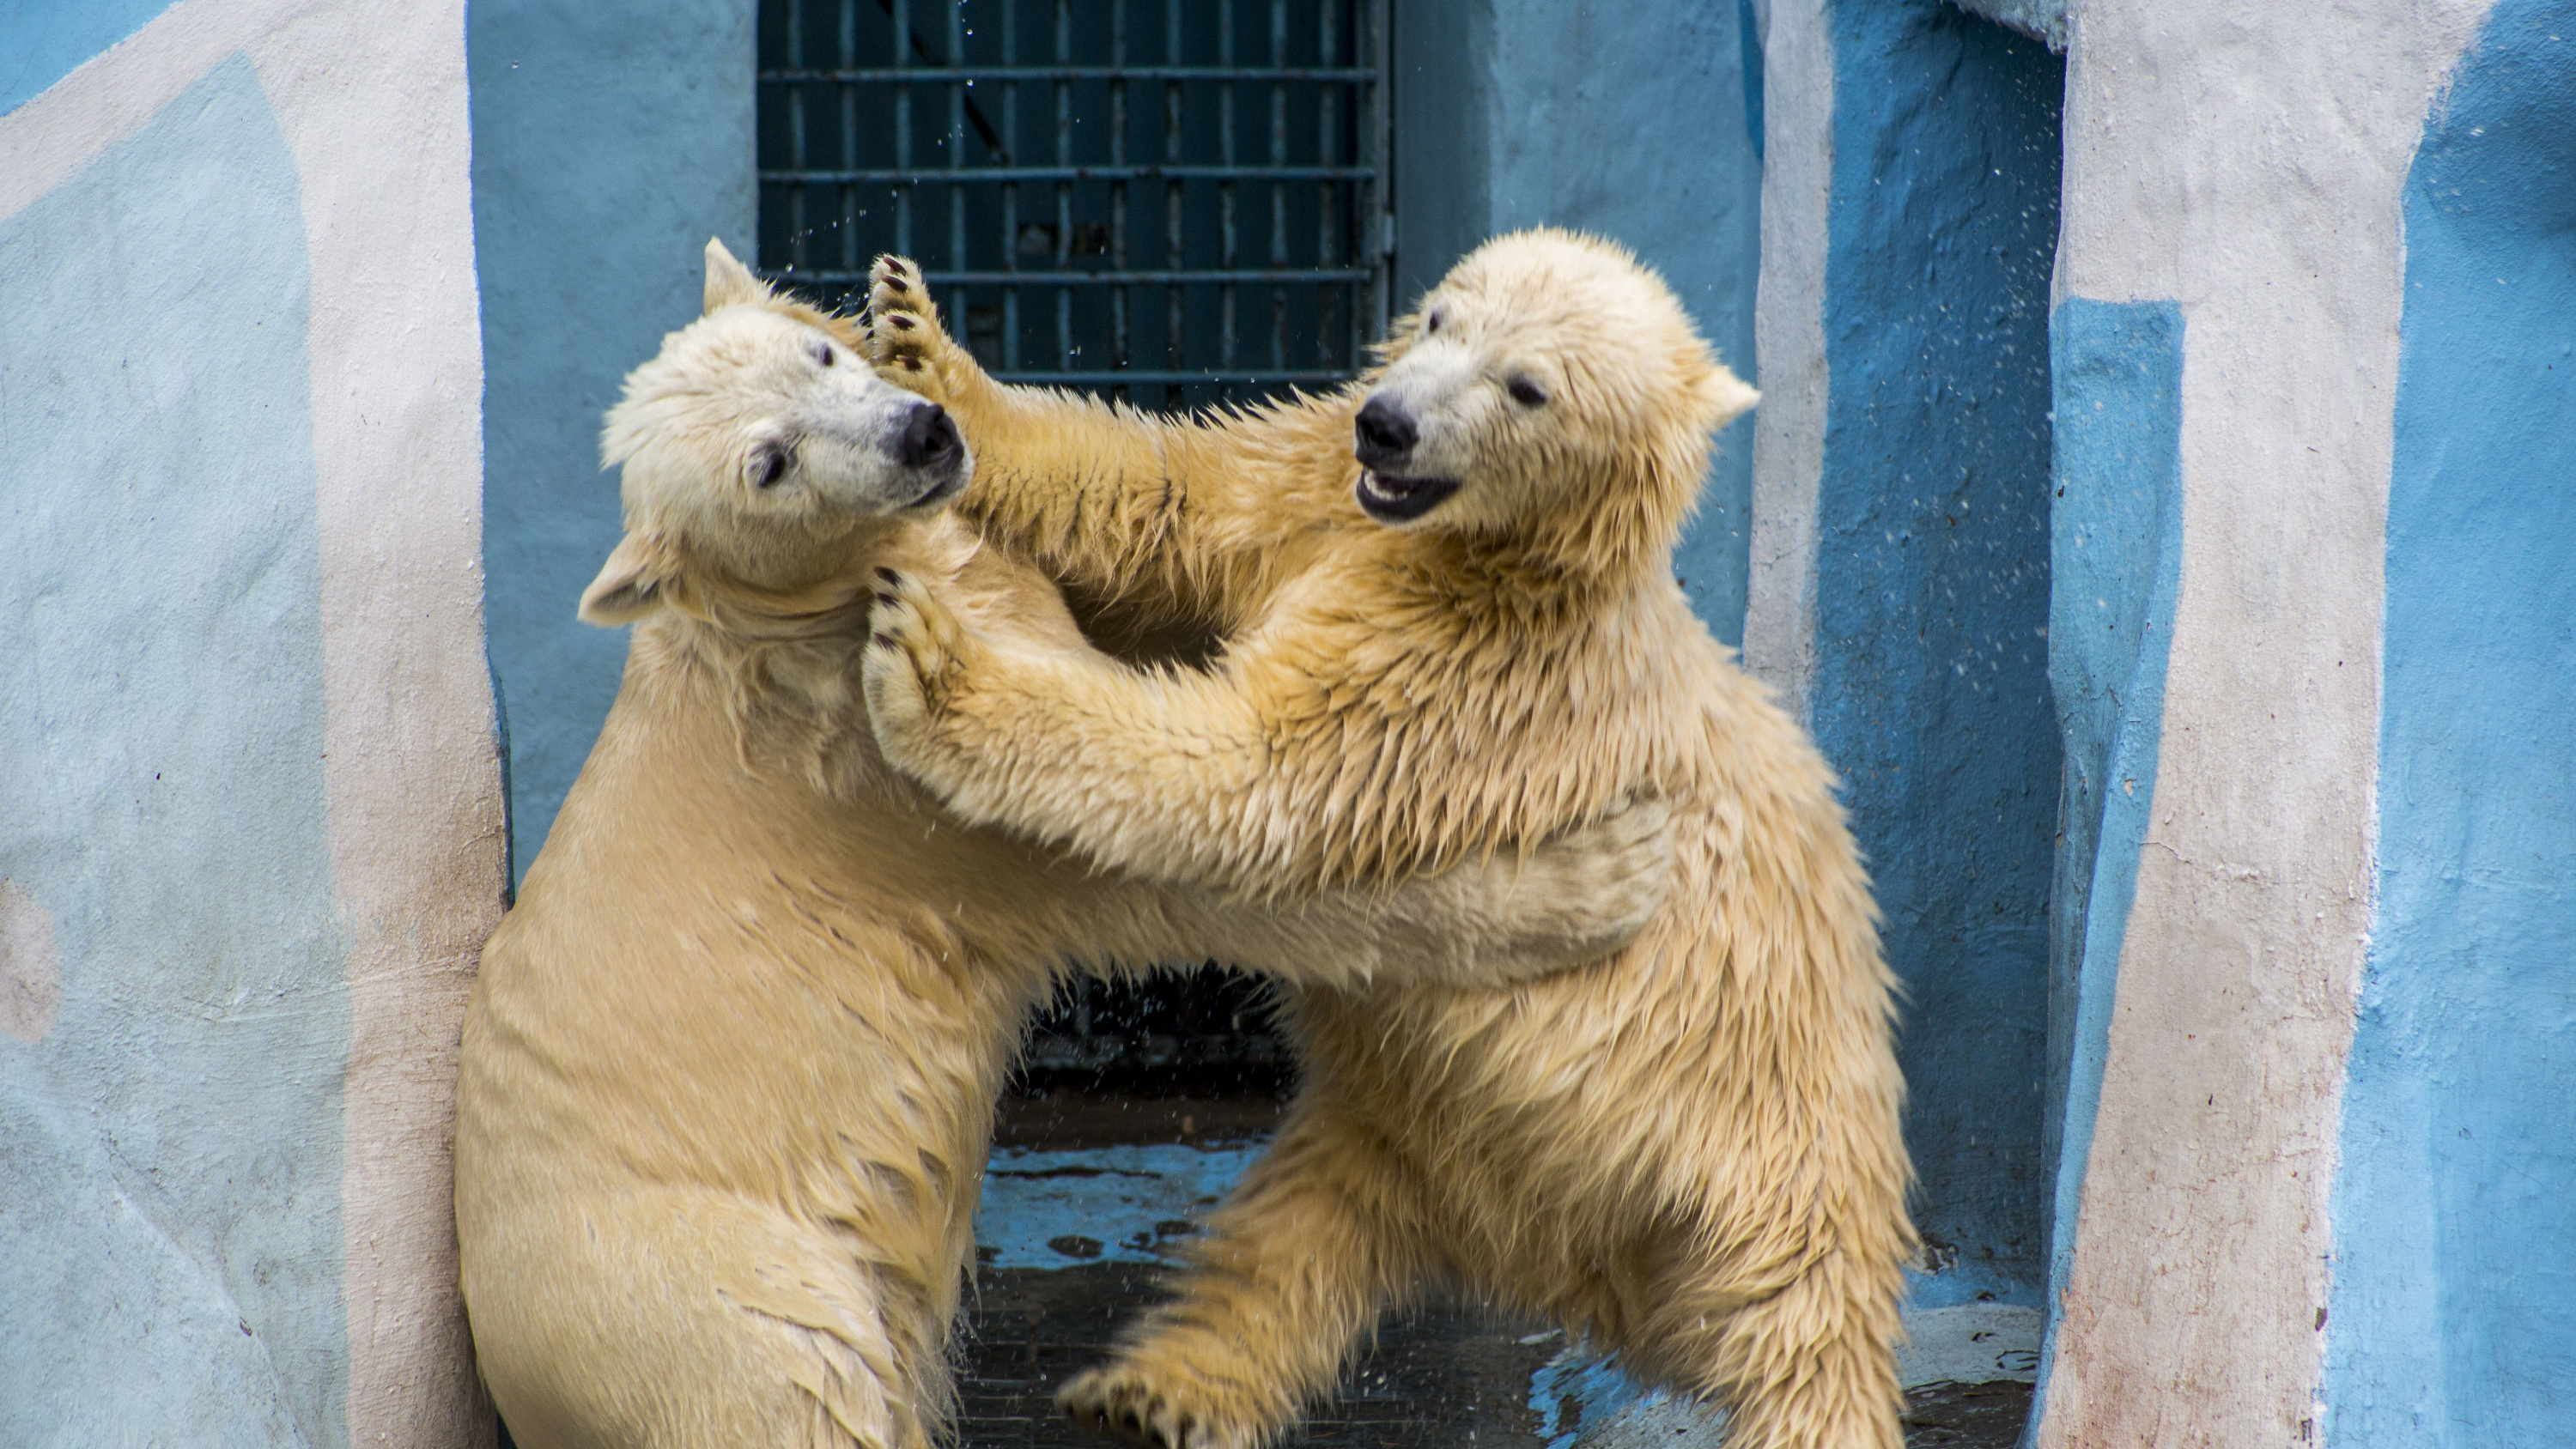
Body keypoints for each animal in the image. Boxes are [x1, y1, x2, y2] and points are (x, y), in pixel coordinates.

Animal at [451, 240, 1680, 1449]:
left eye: (818, 357)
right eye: (770, 463)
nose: (918, 435)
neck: (797, 620)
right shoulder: (901, 802)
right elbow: (1192, 866)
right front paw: (1606, 871)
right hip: (703, 1295)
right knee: (800, 1377)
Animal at [855, 233, 1927, 1449]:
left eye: (1527, 386)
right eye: (1443, 317)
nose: (1390, 425)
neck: (1491, 561)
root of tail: (1578, 1274)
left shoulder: (1465, 674)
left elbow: (1252, 770)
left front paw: (936, 665)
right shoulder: (1317, 499)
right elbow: (1168, 497)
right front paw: (922, 345)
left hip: (1774, 1167)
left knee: (1803, 1354)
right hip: (1415, 1122)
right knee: (1303, 1225)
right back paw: (1158, 1391)